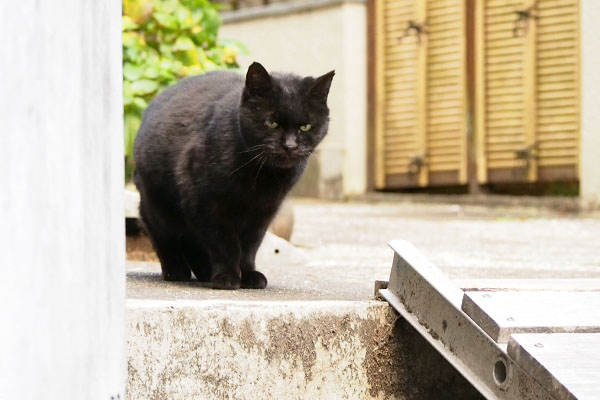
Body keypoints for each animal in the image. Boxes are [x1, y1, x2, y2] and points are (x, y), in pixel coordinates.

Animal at [133, 61, 336, 288]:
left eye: (305, 126)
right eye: (271, 123)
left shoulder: (263, 211)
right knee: (164, 236)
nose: (290, 146)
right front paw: (227, 277)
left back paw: (205, 271)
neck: (260, 177)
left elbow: (249, 248)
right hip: (160, 206)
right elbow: (225, 244)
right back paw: (177, 271)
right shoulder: (208, 204)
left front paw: (249, 276)